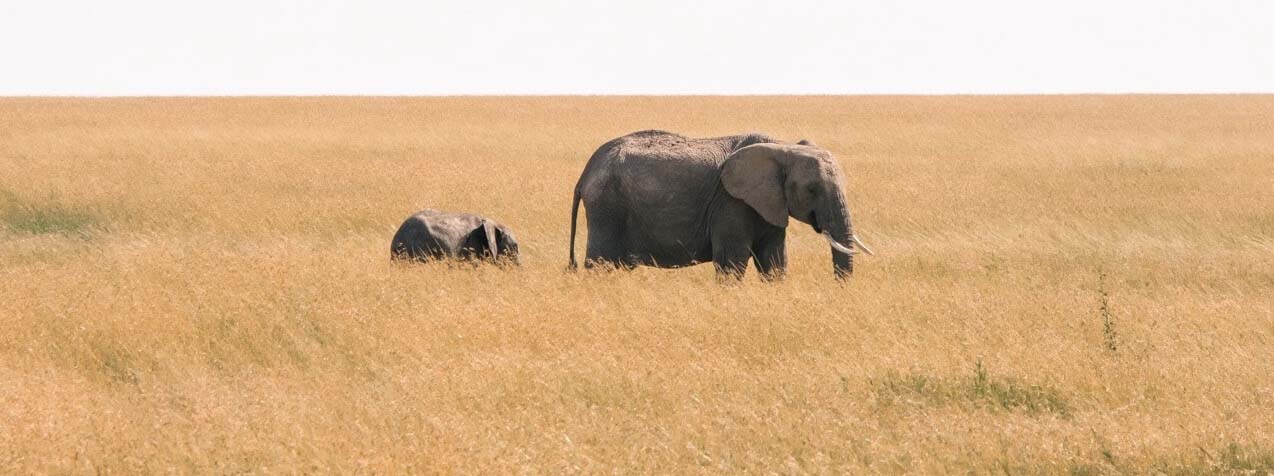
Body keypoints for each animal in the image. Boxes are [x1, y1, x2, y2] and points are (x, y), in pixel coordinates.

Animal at [568, 130, 871, 279]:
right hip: (607, 208)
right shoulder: (730, 202)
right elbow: (732, 263)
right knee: (601, 264)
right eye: (811, 189)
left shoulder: (770, 202)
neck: (784, 147)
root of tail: (585, 172)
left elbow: (774, 261)